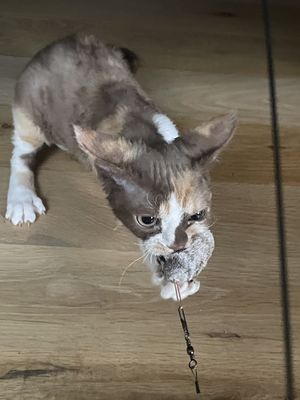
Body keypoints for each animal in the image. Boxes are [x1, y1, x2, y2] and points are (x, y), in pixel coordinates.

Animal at [4, 33, 237, 300]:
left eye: (198, 215)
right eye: (147, 220)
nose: (178, 246)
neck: (149, 137)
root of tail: (61, 41)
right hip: (29, 107)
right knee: (23, 149)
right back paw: (21, 198)